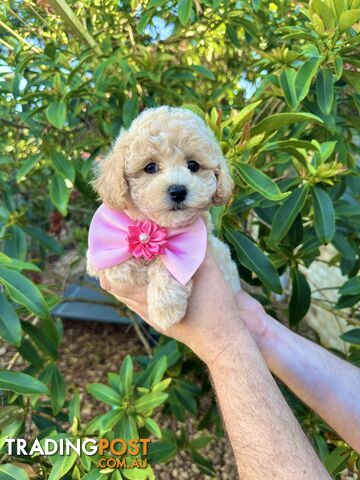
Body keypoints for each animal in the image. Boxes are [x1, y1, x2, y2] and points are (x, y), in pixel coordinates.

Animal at [86, 106, 240, 330]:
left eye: (193, 165)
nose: (178, 191)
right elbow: (105, 260)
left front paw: (165, 308)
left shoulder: (202, 244)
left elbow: (167, 265)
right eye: (150, 167)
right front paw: (127, 267)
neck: (155, 224)